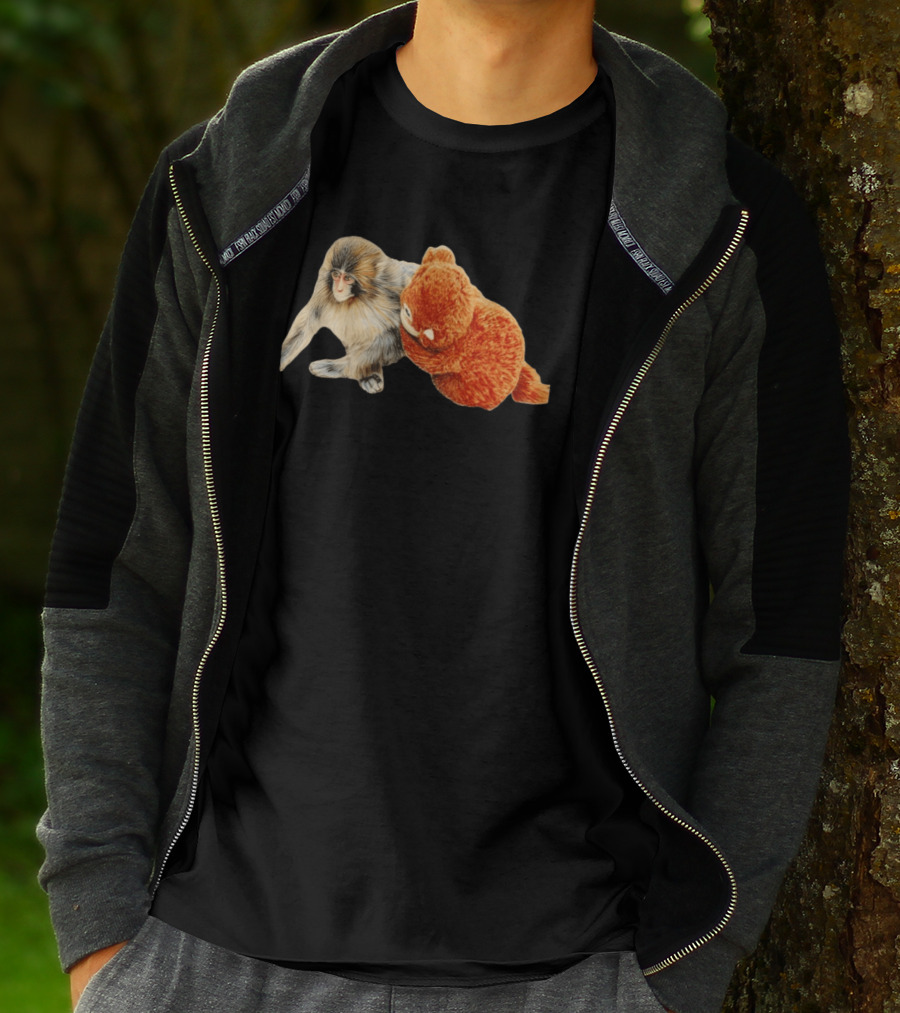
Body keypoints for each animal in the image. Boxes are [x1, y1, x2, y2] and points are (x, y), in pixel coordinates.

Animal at [280, 236, 420, 393]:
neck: (360, 295)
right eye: (336, 275)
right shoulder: (323, 289)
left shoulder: (394, 285)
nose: (339, 289)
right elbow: (307, 323)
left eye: (347, 278)